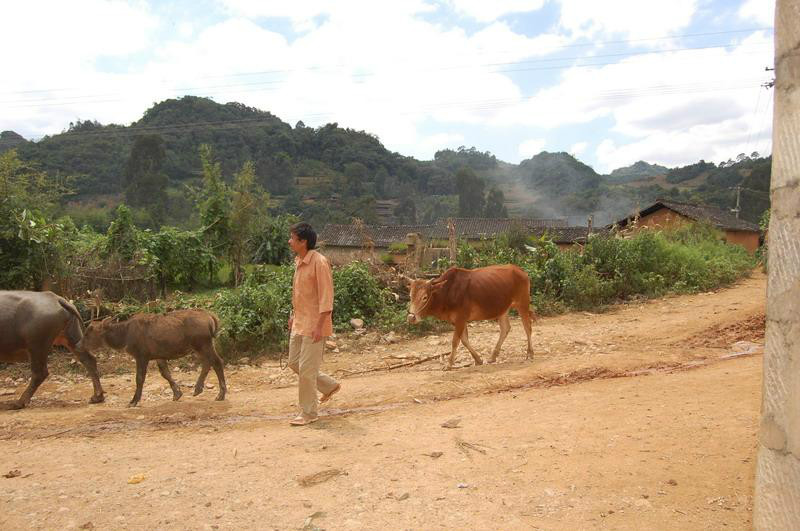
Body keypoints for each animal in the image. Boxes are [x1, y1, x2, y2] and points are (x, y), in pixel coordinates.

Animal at [81, 308, 227, 408]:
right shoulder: (158, 355)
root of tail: (211, 317)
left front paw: (133, 401)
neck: (124, 338)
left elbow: (139, 378)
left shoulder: (142, 354)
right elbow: (165, 373)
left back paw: (220, 394)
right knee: (208, 362)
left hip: (202, 343)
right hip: (201, 345)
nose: (79, 344)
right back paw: (198, 389)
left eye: (89, 332)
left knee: (217, 361)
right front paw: (177, 393)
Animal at [406, 264, 536, 370]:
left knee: (527, 327)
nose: (411, 318)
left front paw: (449, 364)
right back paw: (493, 356)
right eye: (410, 296)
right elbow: (464, 340)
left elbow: (455, 341)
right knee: (505, 329)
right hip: (502, 308)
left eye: (424, 297)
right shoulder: (458, 321)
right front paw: (478, 360)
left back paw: (530, 353)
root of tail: (520, 271)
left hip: (522, 303)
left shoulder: (460, 319)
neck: (447, 292)